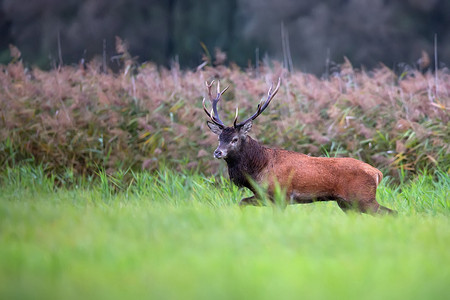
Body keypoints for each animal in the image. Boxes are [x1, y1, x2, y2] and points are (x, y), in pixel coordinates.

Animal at [202, 78, 396, 214]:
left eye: (234, 139)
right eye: (219, 138)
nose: (218, 152)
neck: (258, 170)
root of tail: (377, 173)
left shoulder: (282, 195)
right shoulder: (263, 197)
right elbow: (241, 202)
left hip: (363, 198)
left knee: (392, 213)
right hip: (347, 204)